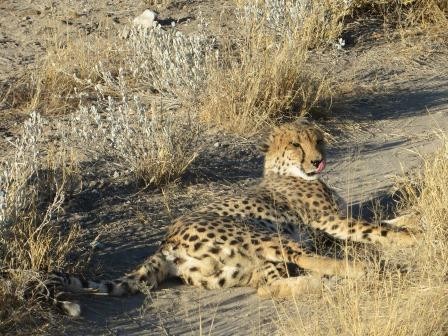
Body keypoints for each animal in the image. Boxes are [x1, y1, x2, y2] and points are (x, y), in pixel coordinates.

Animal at [47, 119, 414, 316]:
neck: (285, 171)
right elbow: (374, 228)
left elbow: (385, 220)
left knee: (269, 286)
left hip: (240, 266)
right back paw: (358, 271)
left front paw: (412, 218)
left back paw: (328, 284)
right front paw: (413, 237)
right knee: (298, 260)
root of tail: (166, 243)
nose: (318, 160)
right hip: (258, 234)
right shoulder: (327, 222)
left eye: (319, 140)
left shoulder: (328, 225)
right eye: (296, 144)